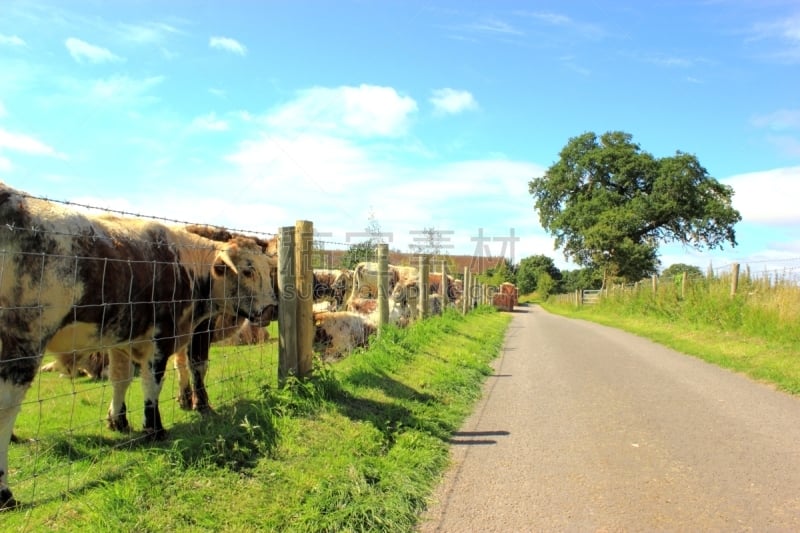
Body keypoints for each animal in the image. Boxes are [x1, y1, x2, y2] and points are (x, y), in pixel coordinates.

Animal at [0, 183, 278, 508]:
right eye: (247, 270)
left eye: (269, 269)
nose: (270, 309)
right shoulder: (161, 339)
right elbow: (153, 383)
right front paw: (155, 427)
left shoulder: (121, 338)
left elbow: (121, 379)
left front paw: (118, 421)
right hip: (23, 344)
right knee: (6, 407)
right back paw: (5, 492)